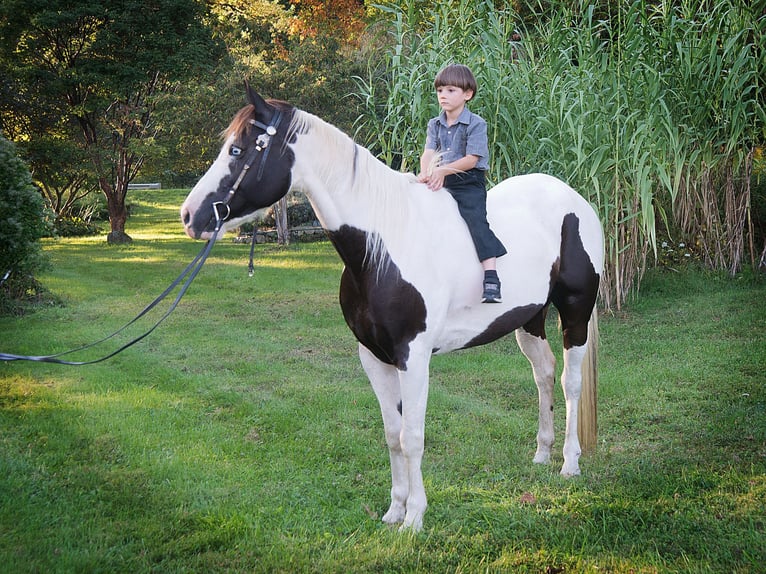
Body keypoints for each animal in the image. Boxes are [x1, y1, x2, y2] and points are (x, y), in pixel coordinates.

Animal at [182, 86, 608, 536]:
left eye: (238, 149)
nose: (190, 215)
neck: (382, 246)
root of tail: (576, 200)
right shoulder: (373, 356)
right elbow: (392, 433)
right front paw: (394, 510)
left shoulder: (413, 358)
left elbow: (413, 437)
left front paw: (415, 517)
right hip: (529, 319)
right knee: (543, 374)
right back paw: (542, 454)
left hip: (575, 313)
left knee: (569, 382)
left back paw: (569, 463)